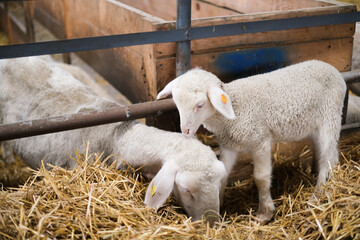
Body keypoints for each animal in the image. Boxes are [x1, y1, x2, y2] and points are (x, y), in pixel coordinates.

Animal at [158, 60, 346, 223]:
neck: (233, 110)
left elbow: (261, 177)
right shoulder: (229, 145)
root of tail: (331, 68)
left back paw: (318, 195)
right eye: (176, 102)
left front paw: (265, 212)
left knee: (329, 158)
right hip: (314, 125)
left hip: (330, 117)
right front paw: (219, 205)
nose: (185, 131)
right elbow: (224, 173)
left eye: (200, 105)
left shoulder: (260, 140)